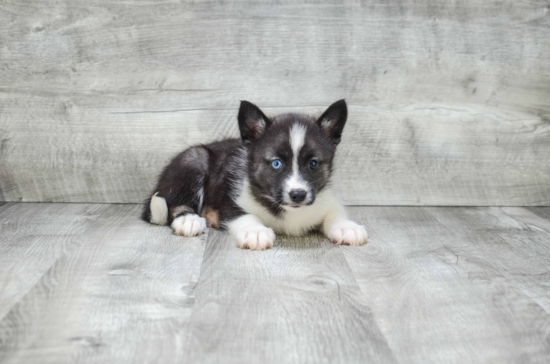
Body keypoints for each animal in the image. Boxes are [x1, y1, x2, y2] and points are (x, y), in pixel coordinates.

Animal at [142, 99, 368, 250]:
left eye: (313, 164)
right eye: (276, 163)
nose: (298, 195)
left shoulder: (324, 199)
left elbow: (335, 212)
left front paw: (347, 227)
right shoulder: (230, 199)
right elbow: (244, 214)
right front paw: (255, 232)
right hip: (194, 158)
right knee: (174, 203)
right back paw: (188, 219)